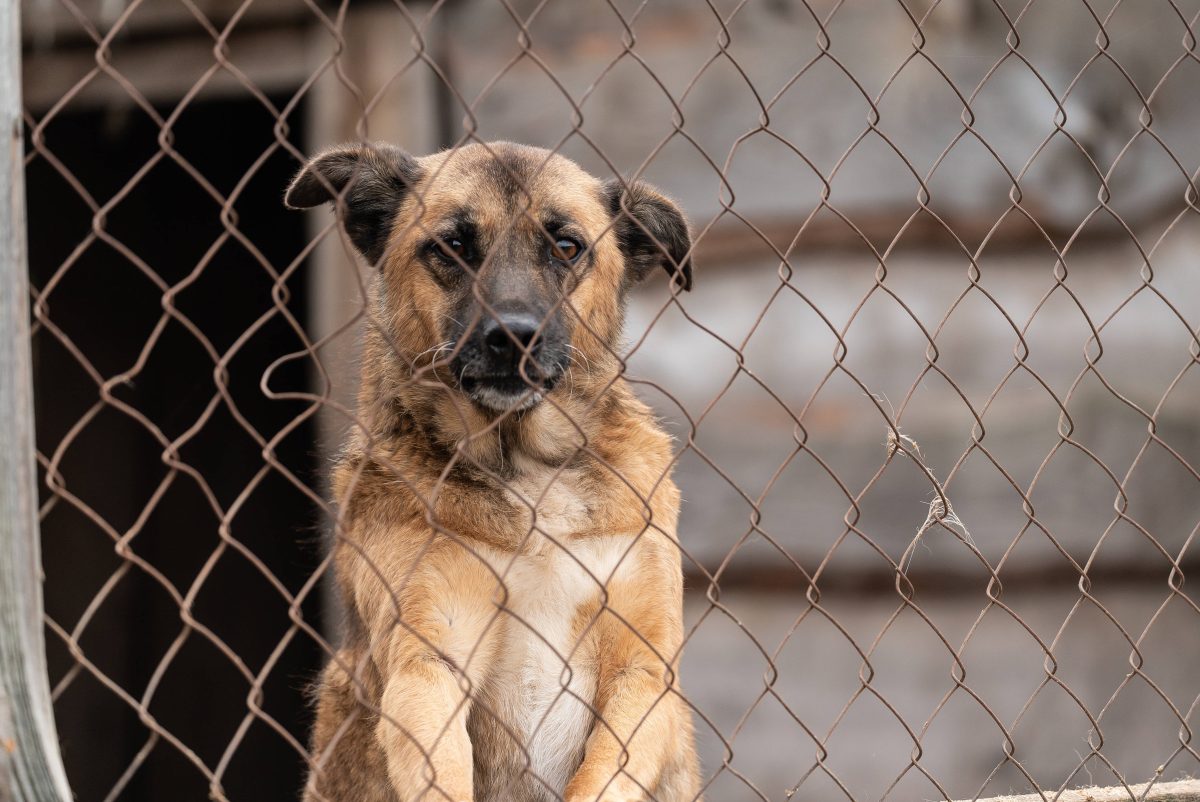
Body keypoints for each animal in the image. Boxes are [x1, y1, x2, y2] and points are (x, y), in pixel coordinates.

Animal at [284, 142, 700, 802]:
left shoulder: (643, 668)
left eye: (567, 246)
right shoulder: (428, 666)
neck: (529, 473)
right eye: (452, 245)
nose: (513, 336)